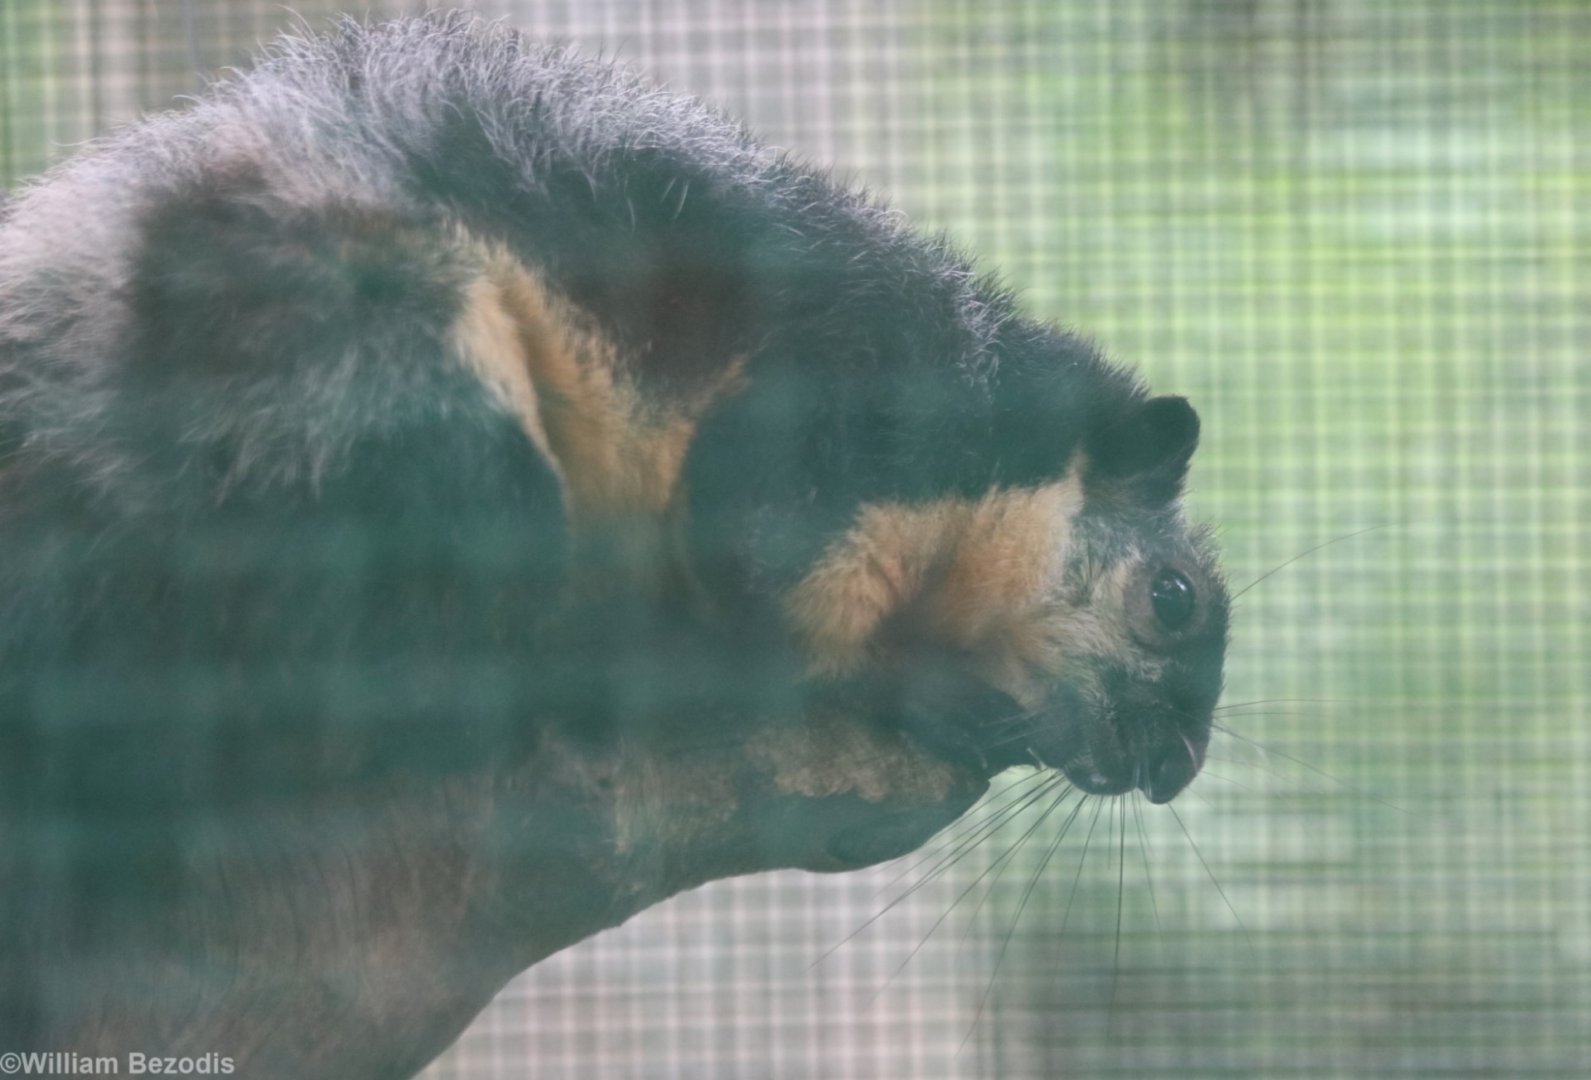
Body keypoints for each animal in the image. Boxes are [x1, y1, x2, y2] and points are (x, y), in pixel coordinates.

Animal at [0, 12, 1227, 1077]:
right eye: (1171, 597)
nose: (1174, 772)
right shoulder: (855, 419)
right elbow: (771, 581)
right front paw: (924, 692)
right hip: (384, 379)